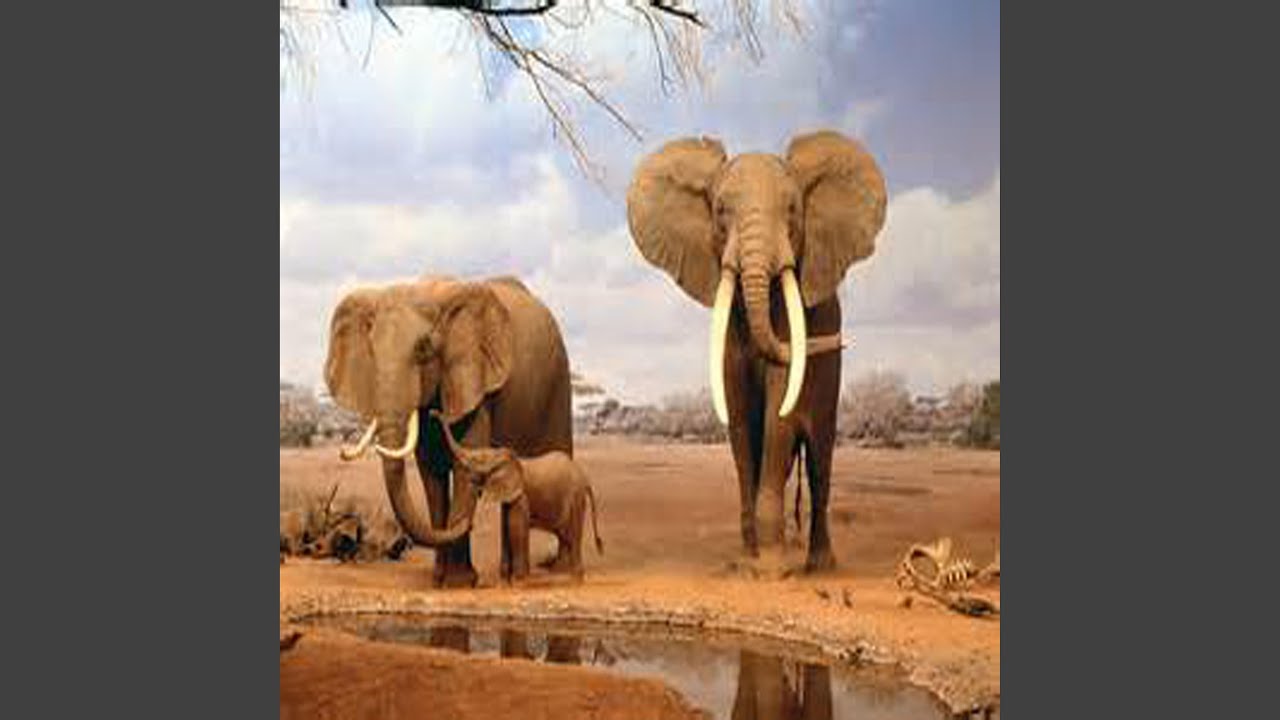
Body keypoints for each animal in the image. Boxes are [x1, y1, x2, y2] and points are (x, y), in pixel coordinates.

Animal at [324, 275, 574, 588]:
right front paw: (438, 581)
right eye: (371, 351)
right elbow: (431, 472)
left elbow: (466, 458)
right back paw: (507, 576)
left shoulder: (474, 379)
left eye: (423, 348)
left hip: (559, 382)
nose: (436, 414)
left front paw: (459, 583)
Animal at [432, 409, 604, 583]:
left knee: (573, 533)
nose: (434, 413)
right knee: (564, 534)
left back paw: (574, 577)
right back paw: (561, 574)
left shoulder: (521, 494)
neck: (507, 458)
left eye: (477, 459)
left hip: (576, 497)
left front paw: (519, 580)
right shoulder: (510, 493)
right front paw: (509, 579)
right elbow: (506, 525)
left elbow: (515, 526)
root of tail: (584, 478)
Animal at [627, 130, 887, 574]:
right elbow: (738, 418)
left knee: (820, 461)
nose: (841, 339)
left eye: (793, 210)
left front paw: (771, 571)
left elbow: (779, 412)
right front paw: (746, 561)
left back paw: (820, 566)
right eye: (719, 211)